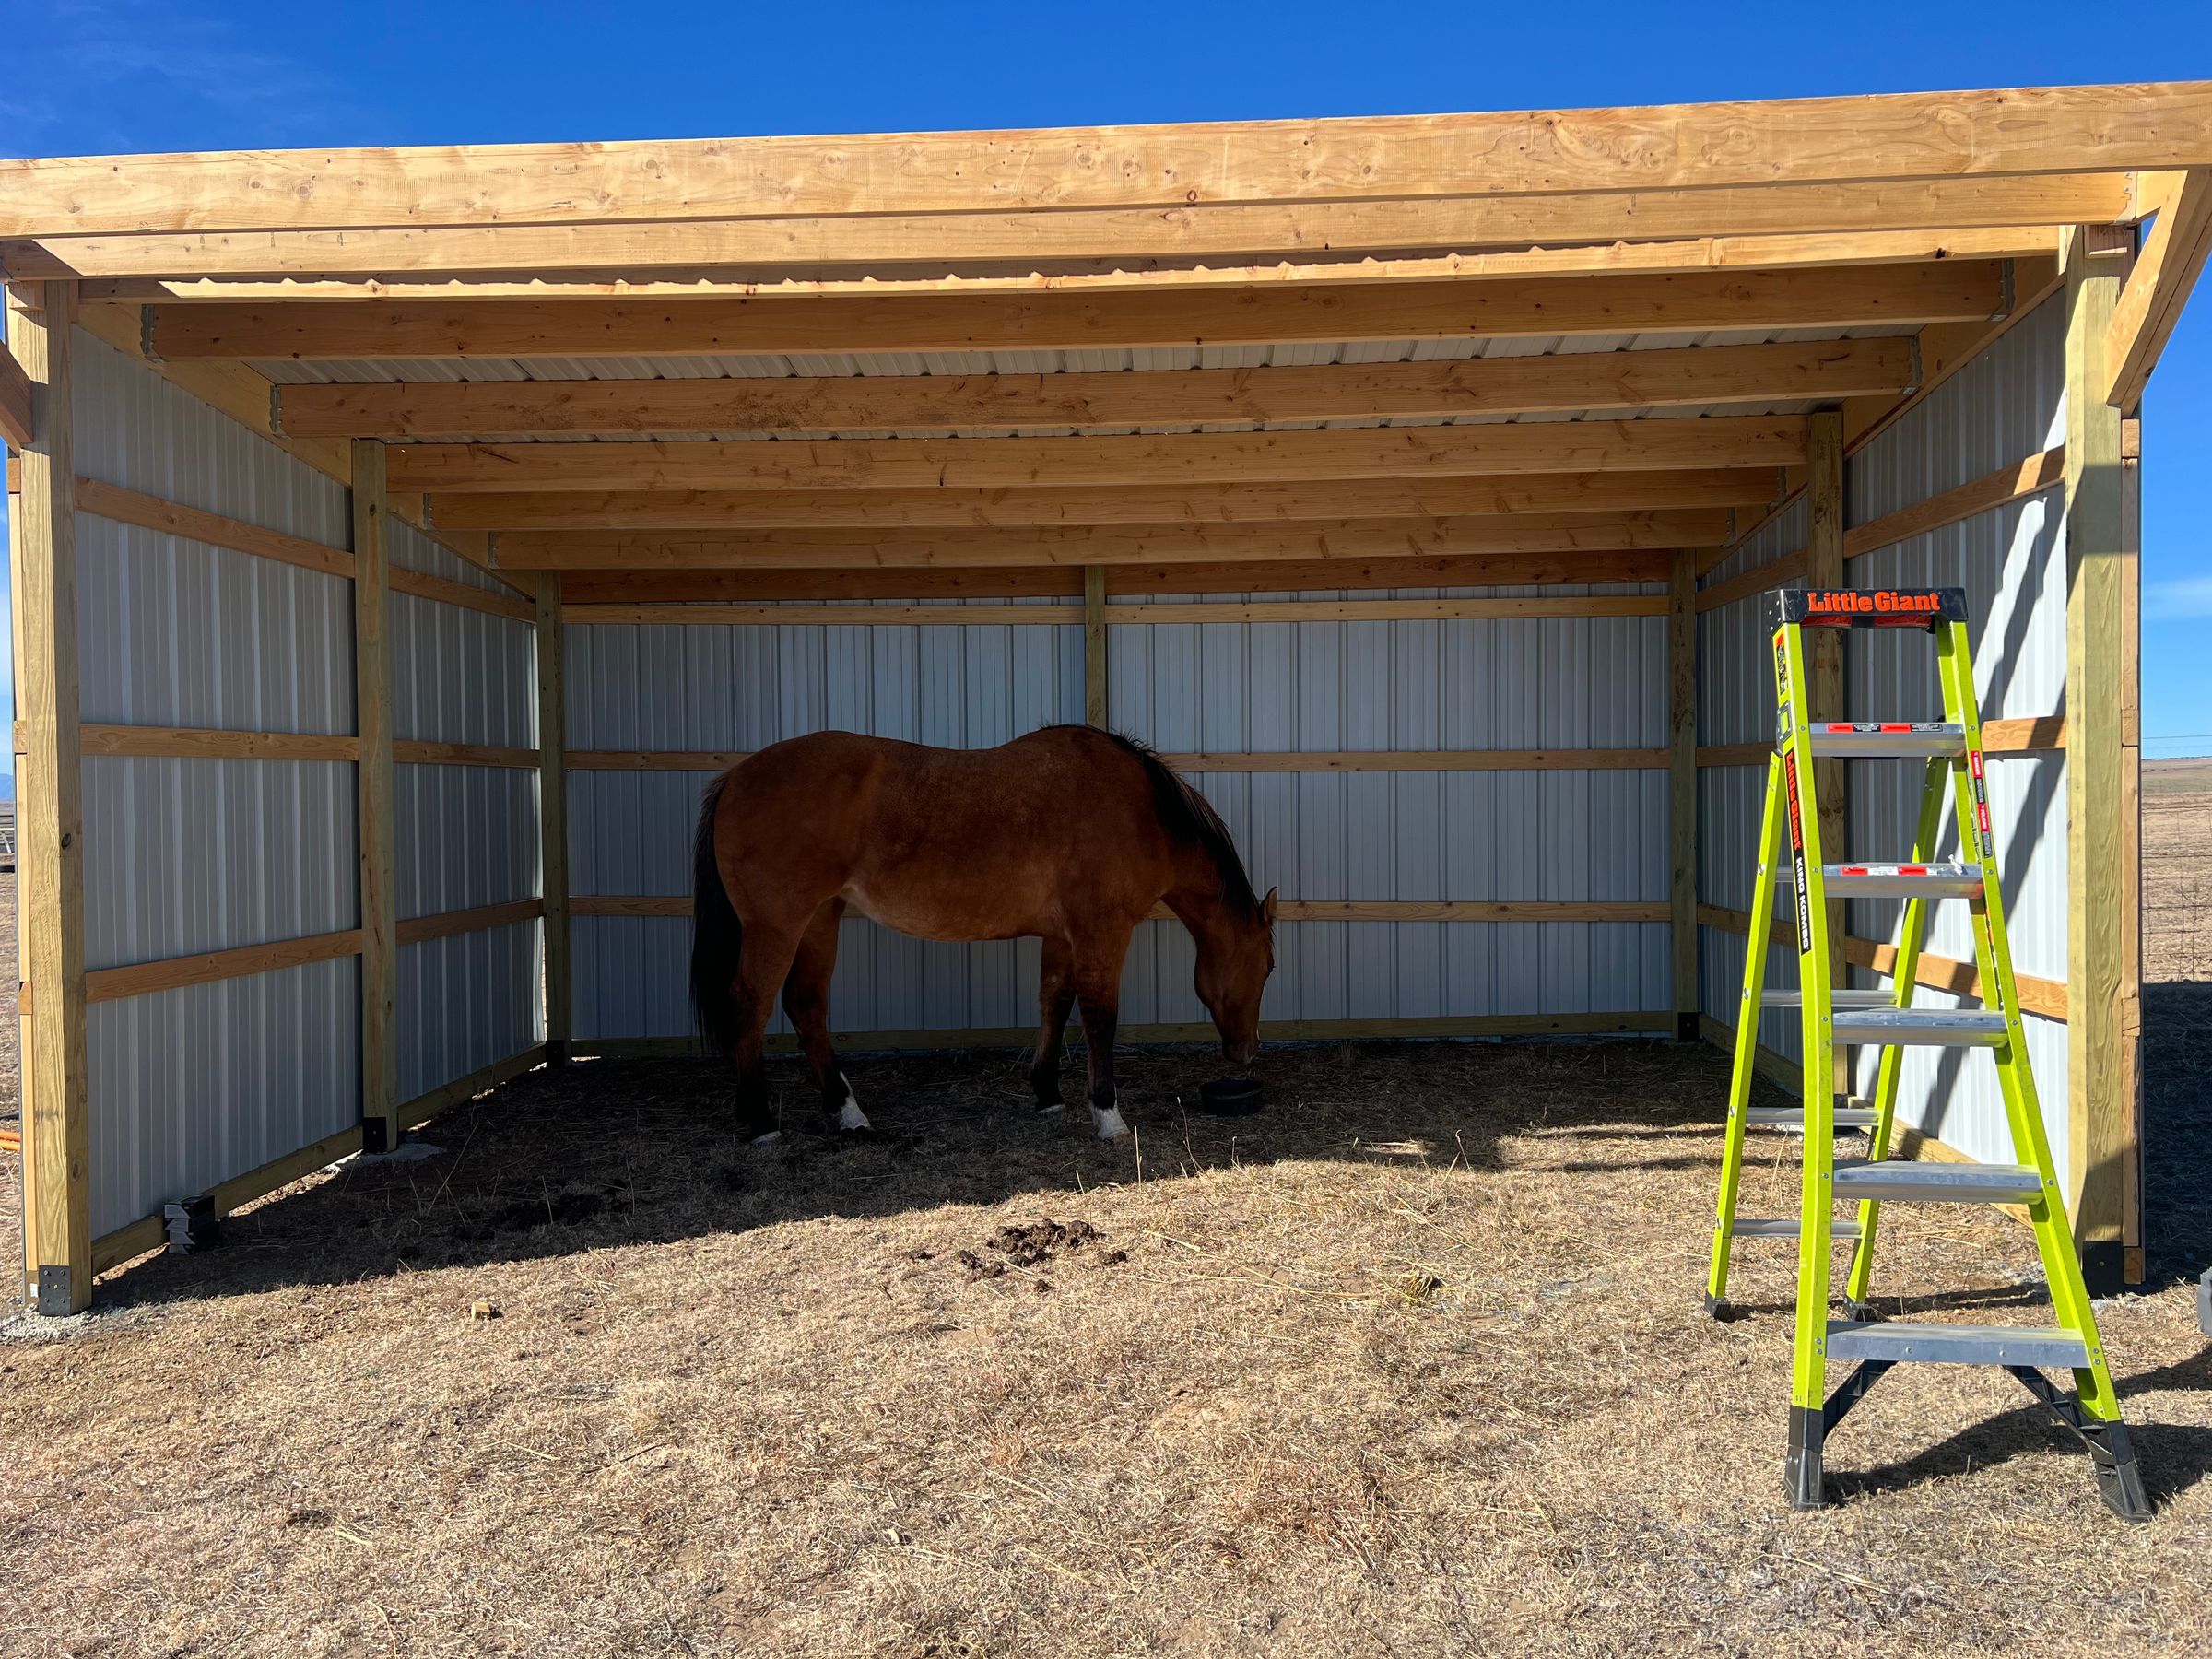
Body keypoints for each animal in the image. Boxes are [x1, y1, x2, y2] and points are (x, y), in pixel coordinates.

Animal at [689, 724, 1277, 1143]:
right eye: (1269, 966)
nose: (1248, 1052)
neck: (1142, 810)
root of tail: (735, 778)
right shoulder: (1101, 933)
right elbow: (1099, 1018)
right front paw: (1107, 1115)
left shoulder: (1062, 936)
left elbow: (1054, 1002)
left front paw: (1047, 1093)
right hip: (778, 926)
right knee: (752, 1003)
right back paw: (760, 1120)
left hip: (819, 920)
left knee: (807, 1006)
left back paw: (848, 1113)